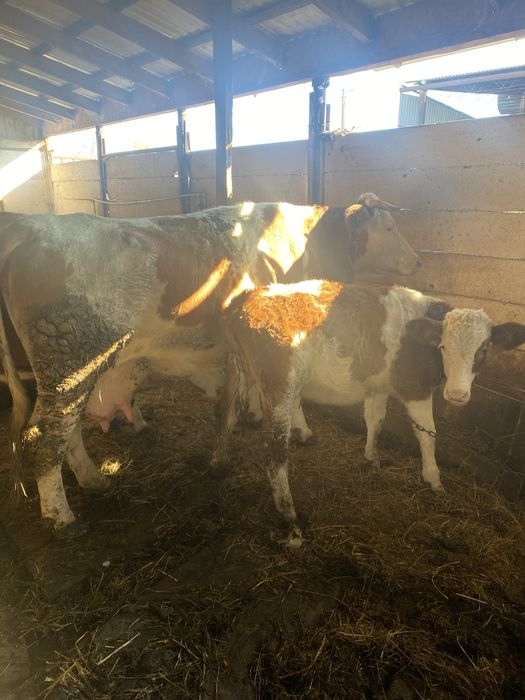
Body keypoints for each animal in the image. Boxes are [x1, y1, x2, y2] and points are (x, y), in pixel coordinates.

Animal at [0, 194, 419, 535]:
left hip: (66, 377)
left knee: (66, 434)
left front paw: (252, 418)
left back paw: (94, 480)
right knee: (44, 439)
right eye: (389, 227)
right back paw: (62, 518)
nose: (417, 259)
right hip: (68, 365)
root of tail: (27, 226)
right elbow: (282, 399)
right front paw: (299, 431)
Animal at [212, 281, 525, 547]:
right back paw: (291, 524)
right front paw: (434, 480)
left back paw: (219, 463)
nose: (457, 395)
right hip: (279, 384)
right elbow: (427, 435)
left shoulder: (378, 385)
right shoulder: (414, 388)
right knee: (275, 454)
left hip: (237, 366)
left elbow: (376, 419)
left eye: (484, 349)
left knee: (226, 412)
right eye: (443, 346)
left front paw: (372, 457)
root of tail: (246, 297)